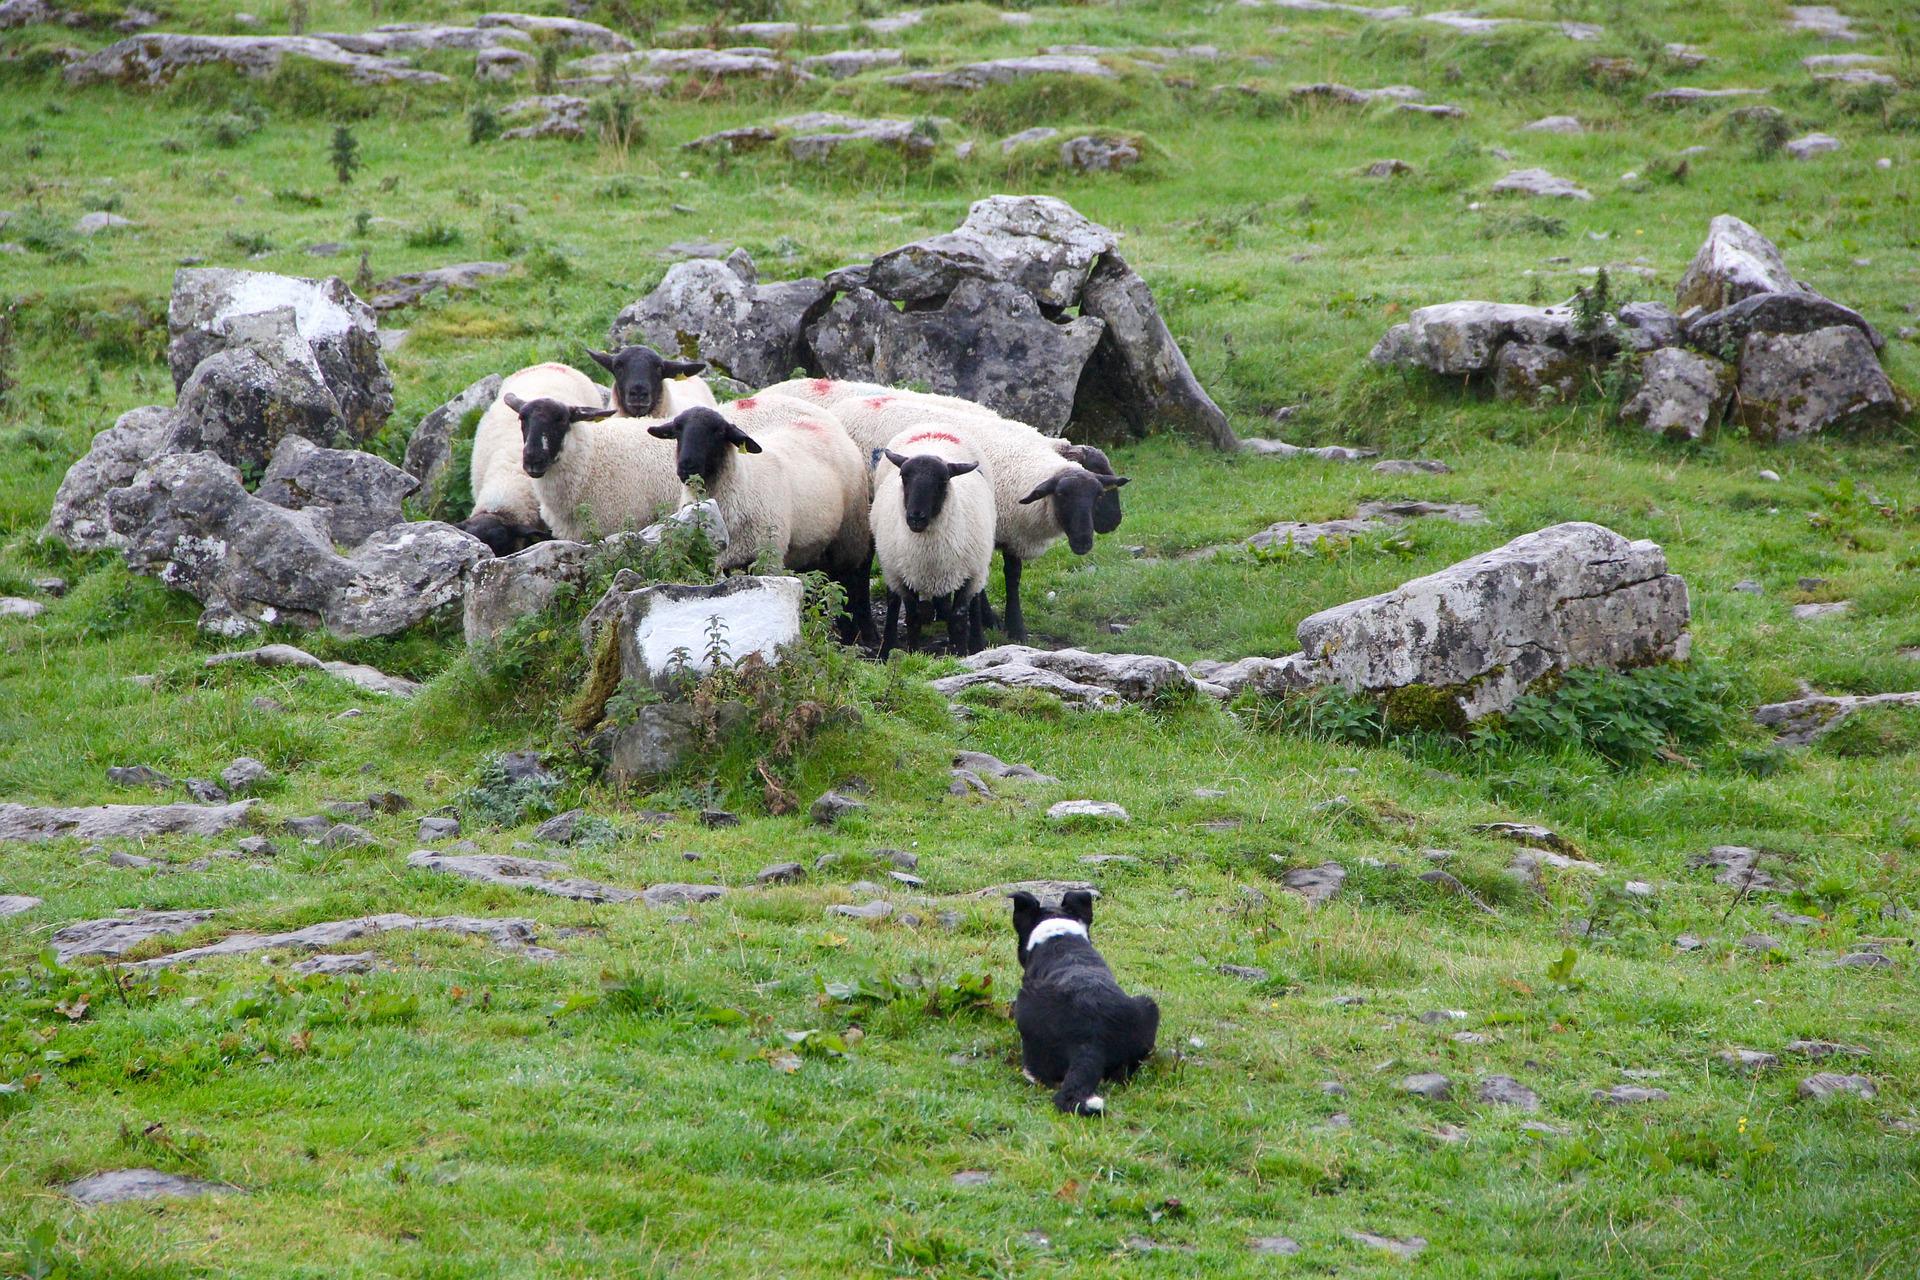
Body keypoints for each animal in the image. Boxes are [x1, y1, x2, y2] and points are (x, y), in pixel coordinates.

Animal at [652, 393, 879, 640]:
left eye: (719, 432)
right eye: (677, 430)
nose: (687, 467)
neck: (742, 484)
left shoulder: (768, 559)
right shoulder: (720, 561)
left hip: (849, 536)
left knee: (851, 582)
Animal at [867, 427, 990, 656]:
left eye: (943, 481)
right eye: (903, 476)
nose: (915, 517)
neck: (929, 553)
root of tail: (933, 427)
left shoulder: (969, 574)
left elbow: (959, 619)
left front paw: (961, 653)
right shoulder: (904, 576)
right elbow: (913, 617)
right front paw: (913, 653)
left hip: (977, 565)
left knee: (975, 603)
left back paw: (977, 642)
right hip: (892, 566)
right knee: (893, 601)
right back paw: (886, 648)